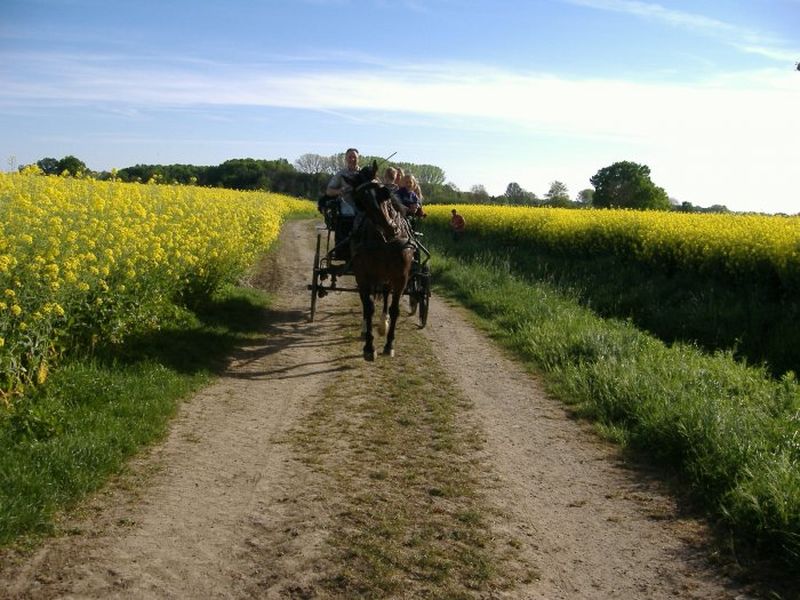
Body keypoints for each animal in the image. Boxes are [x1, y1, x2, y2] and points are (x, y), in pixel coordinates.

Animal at [346, 161, 416, 360]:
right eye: (360, 202)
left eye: (383, 192)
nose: (389, 227)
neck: (385, 241)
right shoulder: (363, 275)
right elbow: (368, 307)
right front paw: (369, 347)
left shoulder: (401, 277)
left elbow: (394, 309)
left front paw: (389, 343)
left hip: (387, 277)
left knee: (385, 295)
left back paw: (383, 323)